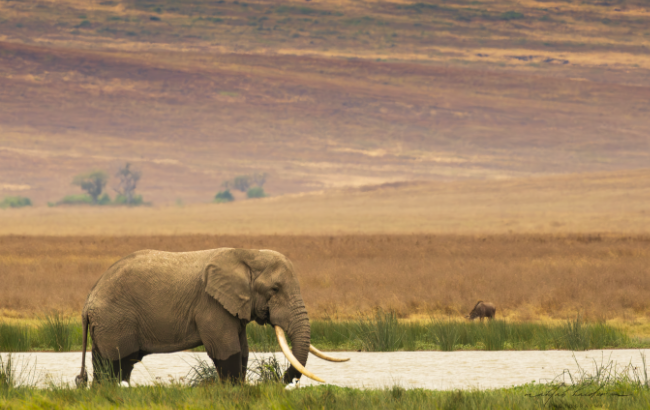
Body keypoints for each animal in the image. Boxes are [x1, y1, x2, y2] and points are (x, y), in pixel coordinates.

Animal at [75, 248, 348, 386]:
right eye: (274, 289)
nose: (285, 380)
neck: (247, 254)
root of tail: (88, 302)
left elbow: (243, 350)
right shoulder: (211, 305)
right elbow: (227, 350)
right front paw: (232, 391)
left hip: (107, 325)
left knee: (105, 365)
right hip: (115, 321)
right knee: (117, 364)